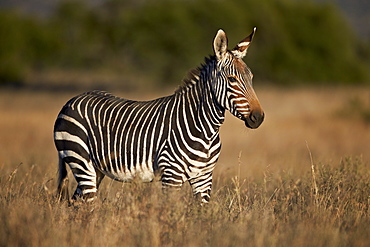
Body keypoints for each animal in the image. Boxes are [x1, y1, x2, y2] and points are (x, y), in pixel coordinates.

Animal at [53, 28, 264, 204]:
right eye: (232, 79)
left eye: (252, 78)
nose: (259, 117)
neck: (205, 130)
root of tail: (72, 100)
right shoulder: (171, 175)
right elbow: (170, 216)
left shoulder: (204, 177)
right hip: (80, 160)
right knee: (88, 205)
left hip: (95, 169)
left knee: (76, 203)